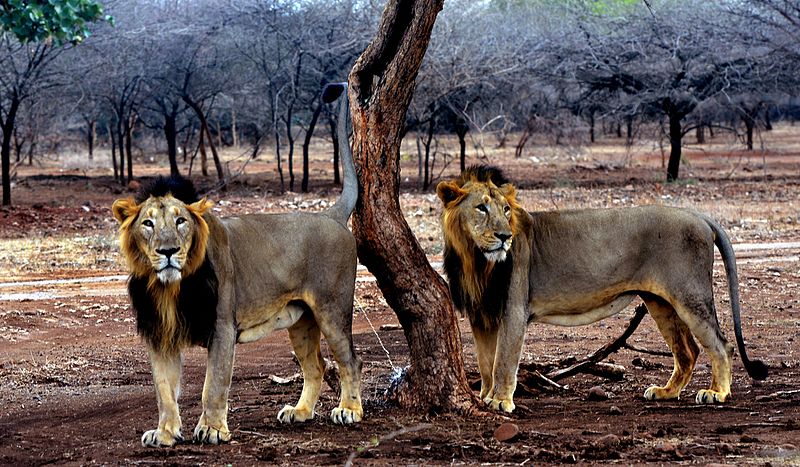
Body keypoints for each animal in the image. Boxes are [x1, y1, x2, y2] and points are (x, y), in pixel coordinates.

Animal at [111, 82, 362, 448]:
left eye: (181, 220)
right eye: (148, 223)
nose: (168, 250)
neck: (171, 287)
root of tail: (330, 215)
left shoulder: (222, 327)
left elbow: (213, 385)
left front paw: (213, 429)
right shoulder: (160, 335)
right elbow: (163, 391)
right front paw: (165, 432)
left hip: (332, 310)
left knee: (350, 361)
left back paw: (349, 410)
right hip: (301, 320)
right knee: (315, 366)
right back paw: (300, 412)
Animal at [438, 166, 768, 414]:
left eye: (506, 210)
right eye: (481, 207)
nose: (505, 236)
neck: (473, 260)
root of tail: (699, 215)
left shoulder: (514, 311)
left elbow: (503, 361)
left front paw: (499, 401)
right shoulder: (481, 316)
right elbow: (485, 362)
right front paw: (483, 396)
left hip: (690, 294)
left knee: (721, 344)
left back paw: (717, 393)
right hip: (659, 302)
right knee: (688, 350)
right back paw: (665, 392)